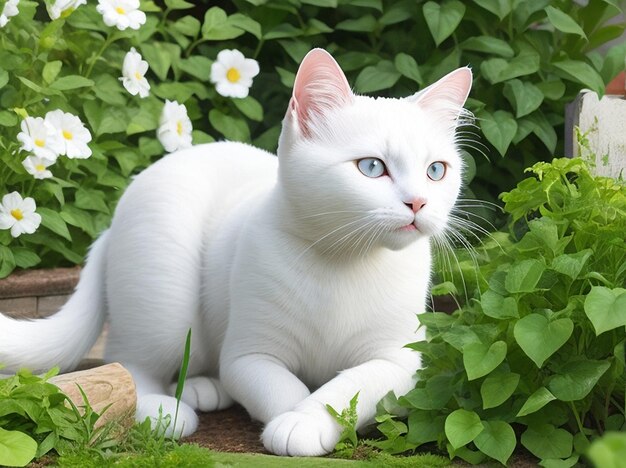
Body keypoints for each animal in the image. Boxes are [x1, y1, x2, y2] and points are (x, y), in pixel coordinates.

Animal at [0, 49, 468, 456]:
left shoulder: (402, 360)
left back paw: (202, 386)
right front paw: (294, 420)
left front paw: (307, 419)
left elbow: (351, 385)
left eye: (436, 171)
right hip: (164, 293)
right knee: (128, 361)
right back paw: (164, 409)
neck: (346, 261)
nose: (418, 203)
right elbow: (283, 387)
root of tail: (111, 226)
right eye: (372, 167)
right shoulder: (249, 353)